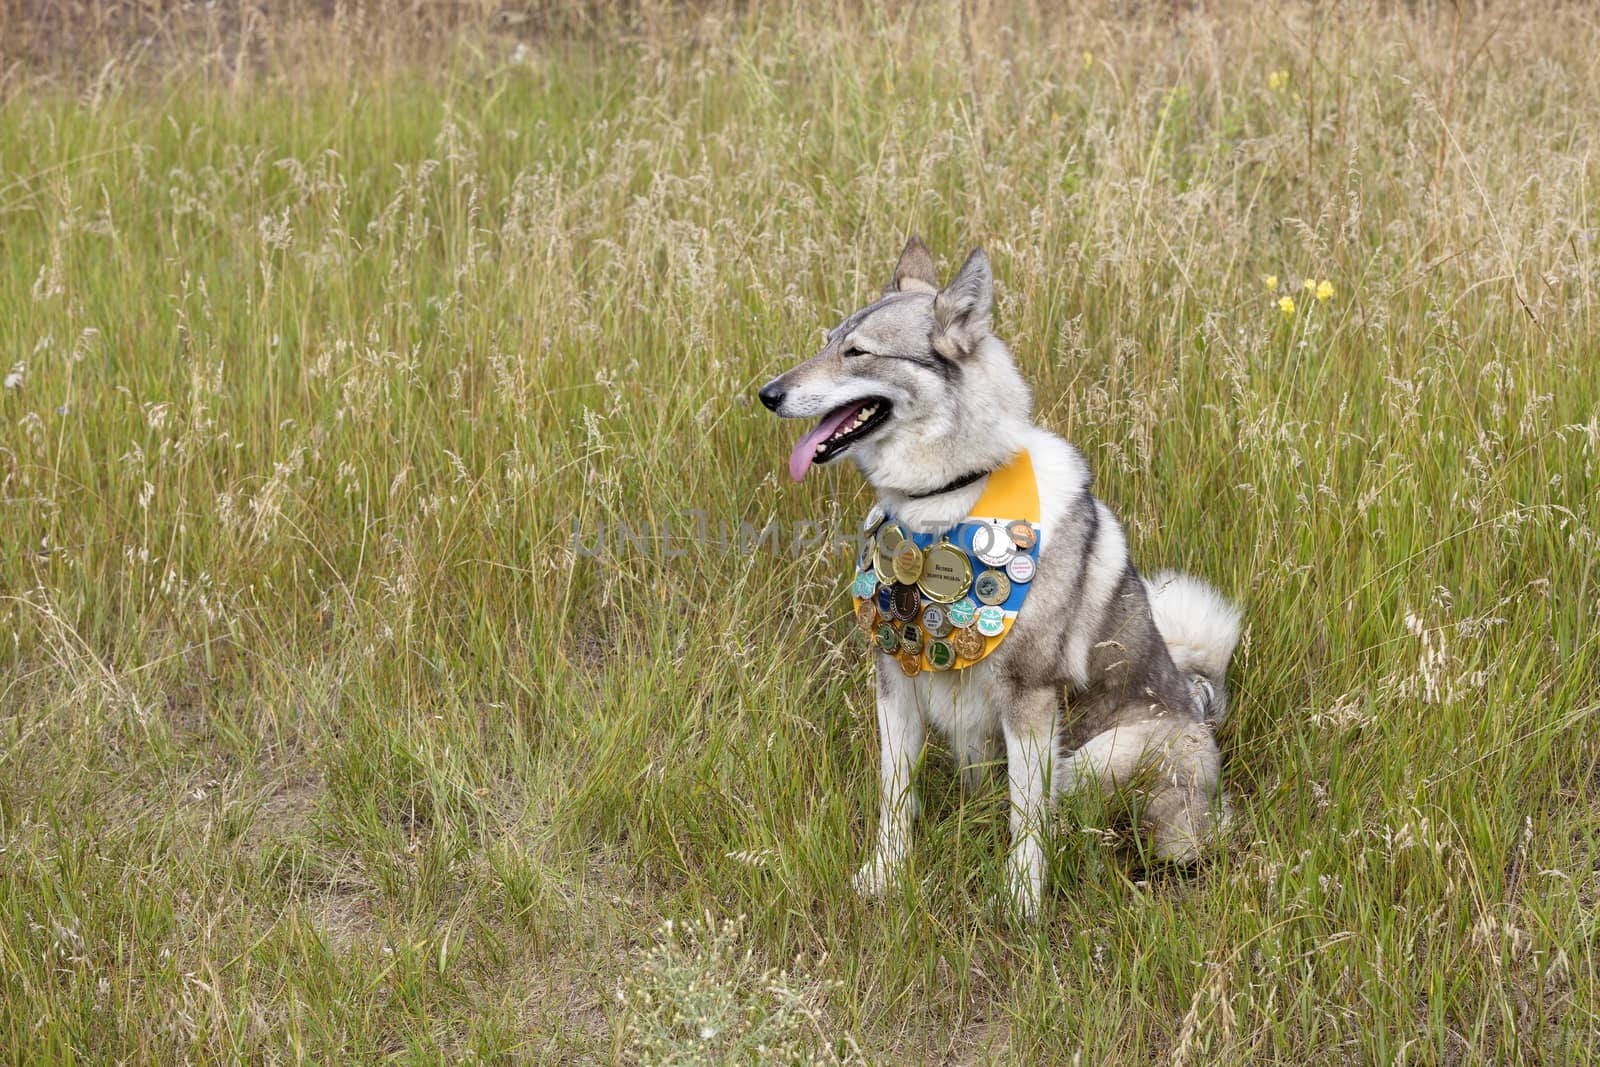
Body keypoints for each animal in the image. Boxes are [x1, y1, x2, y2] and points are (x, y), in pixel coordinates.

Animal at [755, 239, 1241, 921]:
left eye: (858, 352)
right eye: (827, 342)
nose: (766, 394)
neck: (946, 500)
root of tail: (1204, 707)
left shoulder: (1029, 701)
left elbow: (1026, 819)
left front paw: (1021, 901)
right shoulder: (893, 683)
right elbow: (894, 798)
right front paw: (885, 876)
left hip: (1098, 759)